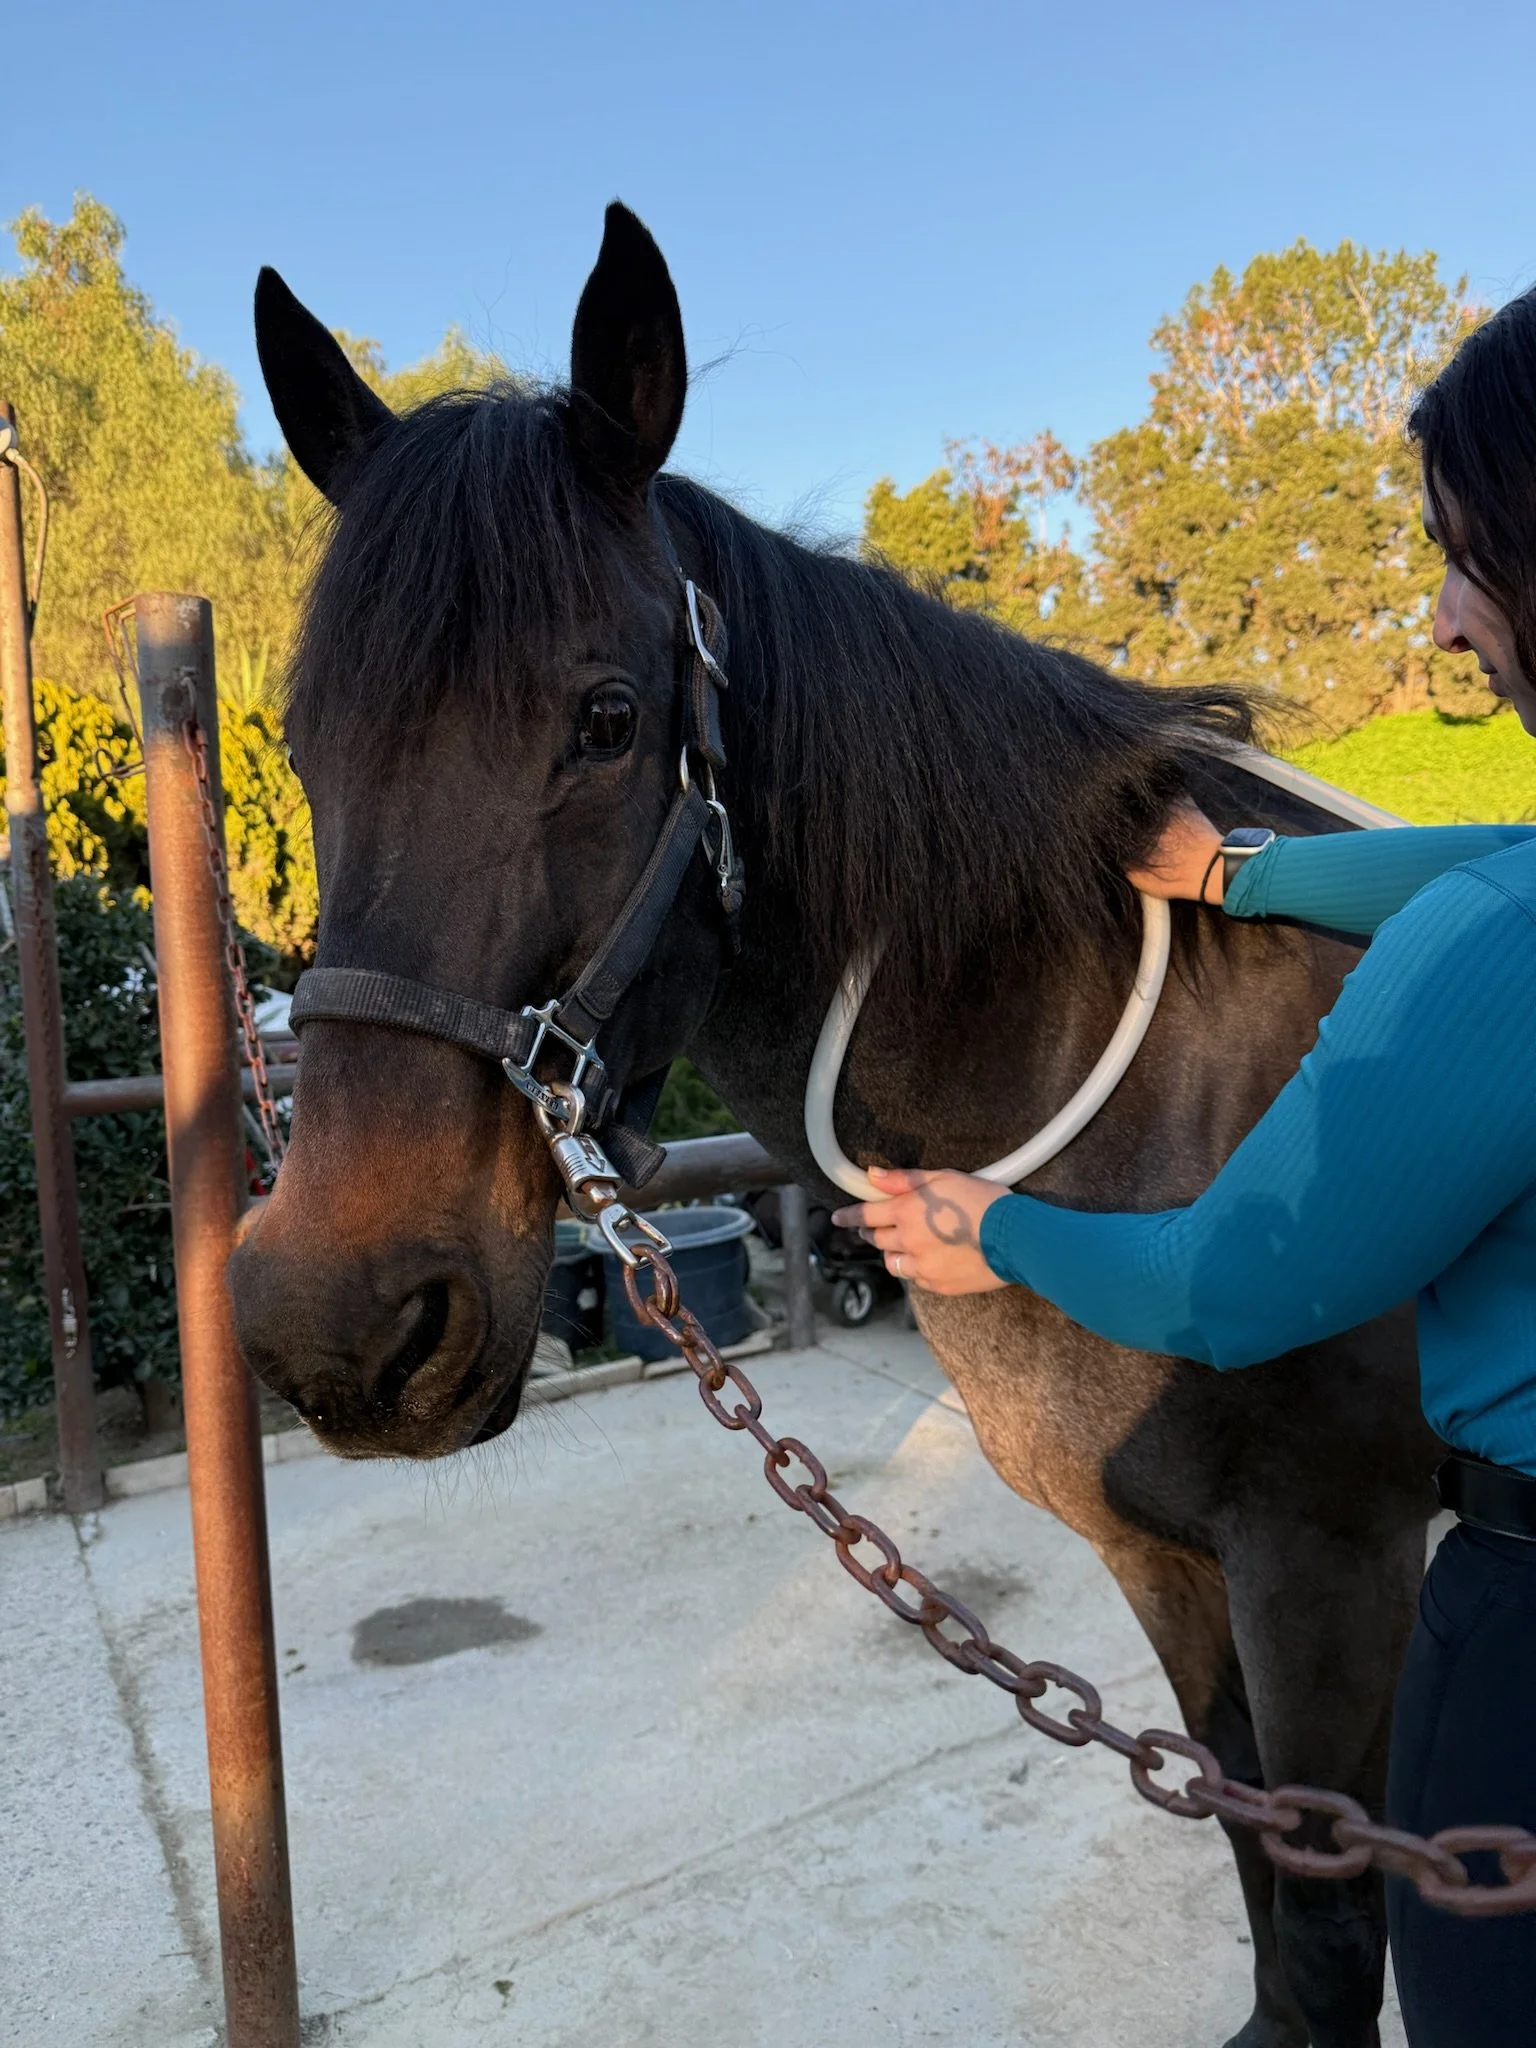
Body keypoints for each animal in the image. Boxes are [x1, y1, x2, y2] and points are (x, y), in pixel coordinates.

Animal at [232, 204, 1438, 2048]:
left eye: (605, 718)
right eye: (305, 740)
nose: (343, 1318)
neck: (1166, 1097)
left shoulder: (1332, 1572)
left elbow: (1317, 1950)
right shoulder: (1173, 1572)